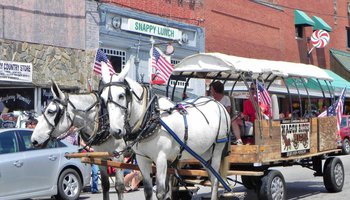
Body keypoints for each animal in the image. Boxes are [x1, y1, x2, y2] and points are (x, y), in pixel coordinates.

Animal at [100, 63, 231, 200]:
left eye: (121, 95)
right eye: (102, 98)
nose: (115, 131)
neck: (150, 117)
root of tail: (218, 104)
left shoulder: (161, 158)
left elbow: (161, 193)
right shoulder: (142, 159)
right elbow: (148, 191)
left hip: (217, 149)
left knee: (215, 180)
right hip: (204, 153)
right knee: (211, 175)